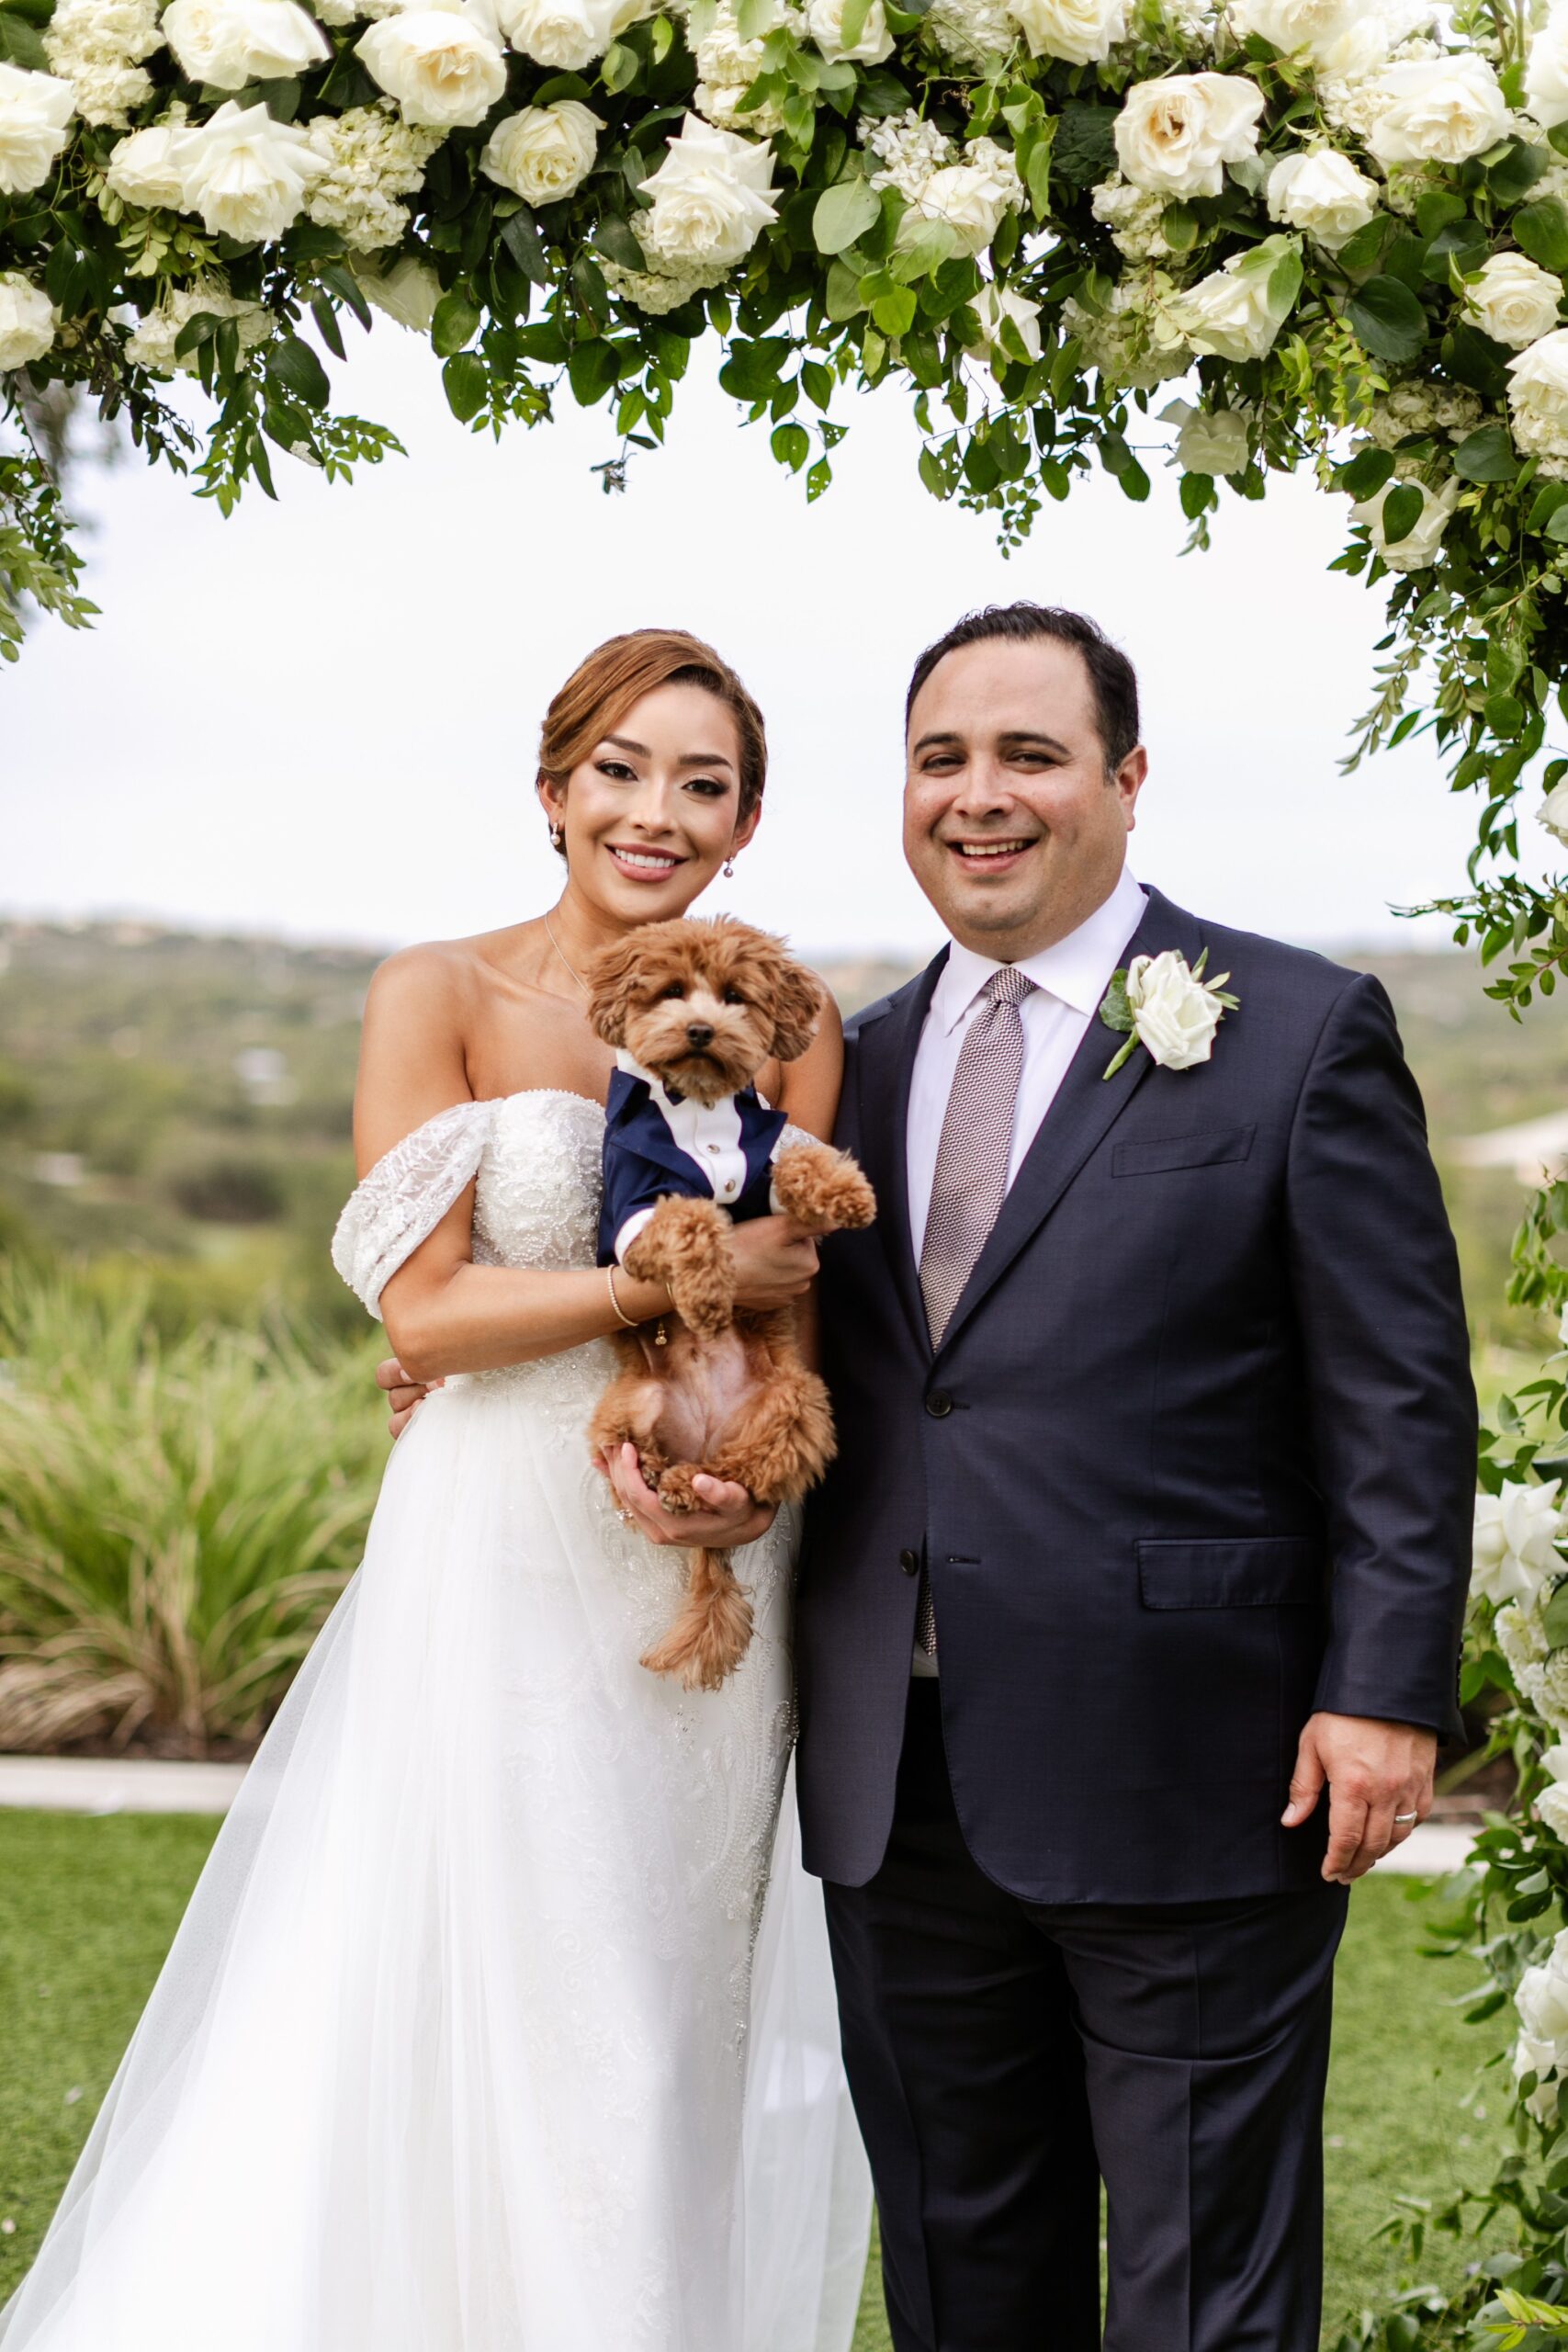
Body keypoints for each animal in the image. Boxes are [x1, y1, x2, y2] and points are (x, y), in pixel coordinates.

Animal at [587, 912, 884, 1693]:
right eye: (668, 992)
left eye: (733, 997)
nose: (699, 1029)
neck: (698, 1108)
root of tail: (703, 1437)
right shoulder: (634, 1218)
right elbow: (690, 1218)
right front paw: (709, 1291)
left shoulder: (763, 1167)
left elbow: (798, 1159)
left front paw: (845, 1190)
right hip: (625, 1411)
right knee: (641, 1460)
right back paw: (663, 1479)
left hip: (794, 1403)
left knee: (745, 1472)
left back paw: (694, 1486)